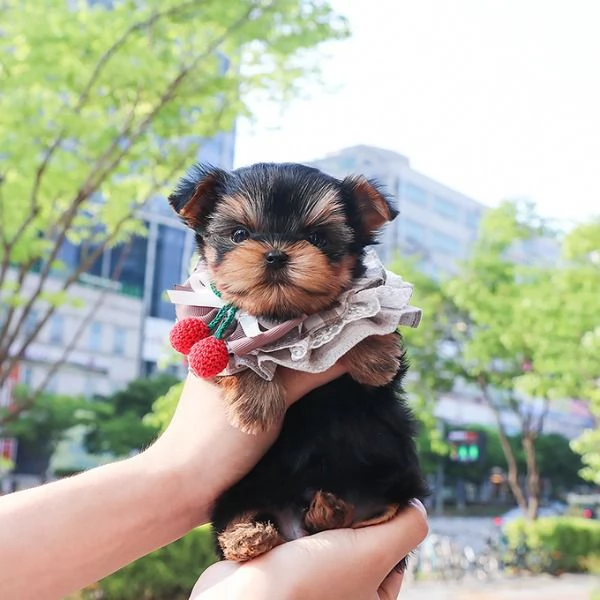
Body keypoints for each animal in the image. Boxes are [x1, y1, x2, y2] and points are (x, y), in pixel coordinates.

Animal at [168, 164, 426, 568]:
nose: (275, 254)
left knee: (384, 508)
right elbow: (241, 352)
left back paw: (332, 512)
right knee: (236, 516)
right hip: (240, 489)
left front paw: (373, 354)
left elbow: (358, 323)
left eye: (317, 237)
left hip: (394, 470)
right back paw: (248, 536)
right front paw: (256, 402)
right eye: (239, 234)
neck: (284, 319)